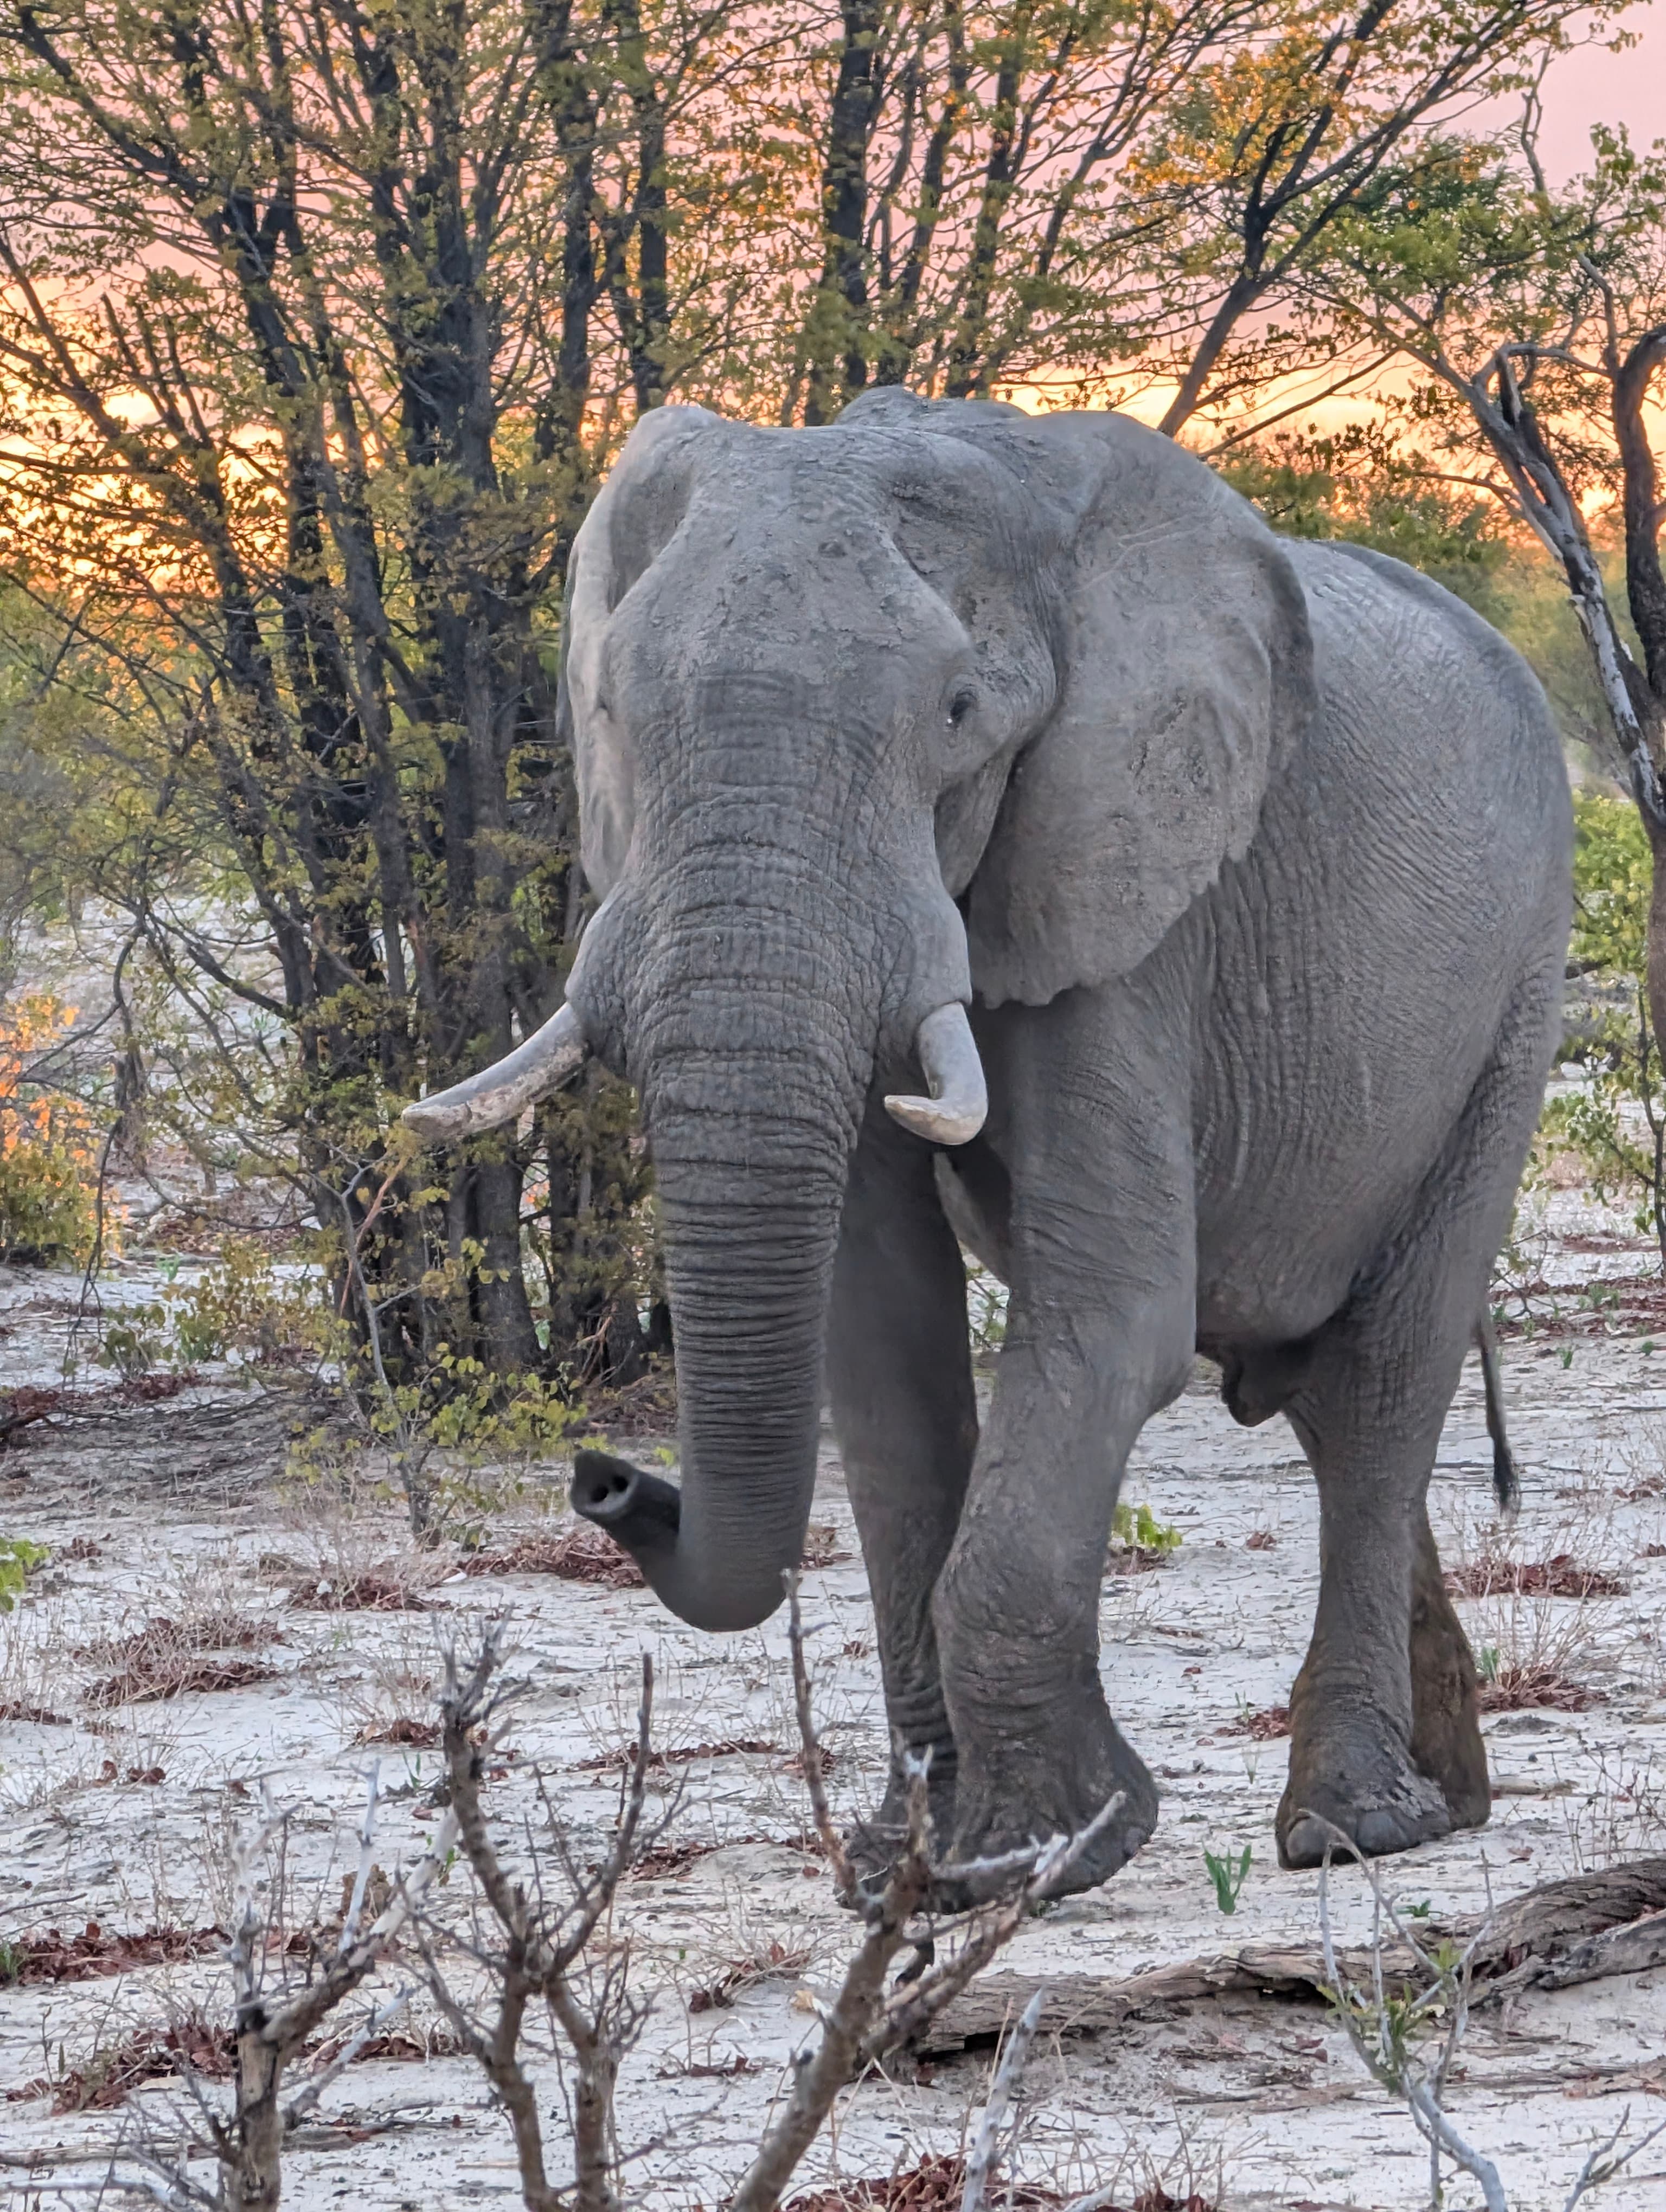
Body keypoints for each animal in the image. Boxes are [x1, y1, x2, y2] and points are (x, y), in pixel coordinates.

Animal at [405, 388, 1573, 1893]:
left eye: (958, 716)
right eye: (609, 709)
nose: (606, 1477)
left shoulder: (1128, 897)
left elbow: (1112, 1314)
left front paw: (1040, 1853)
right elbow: (880, 1345)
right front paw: (905, 1866)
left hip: (1516, 995)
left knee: (1382, 1383)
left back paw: (1349, 1827)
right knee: (1332, 1404)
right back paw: (1448, 1797)